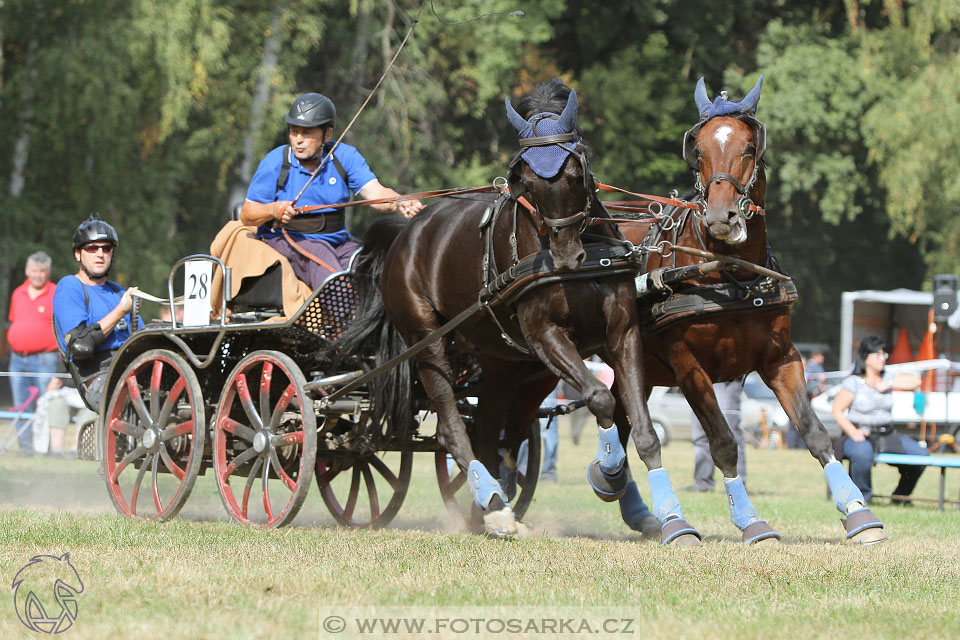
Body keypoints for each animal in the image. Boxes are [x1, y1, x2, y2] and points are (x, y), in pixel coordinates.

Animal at [604, 76, 888, 544]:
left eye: (750, 147)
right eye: (698, 149)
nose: (722, 218)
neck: (727, 276)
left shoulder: (780, 358)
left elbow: (815, 432)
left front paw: (857, 511)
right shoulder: (688, 366)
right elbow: (723, 442)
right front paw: (750, 520)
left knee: (620, 411)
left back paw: (612, 481)